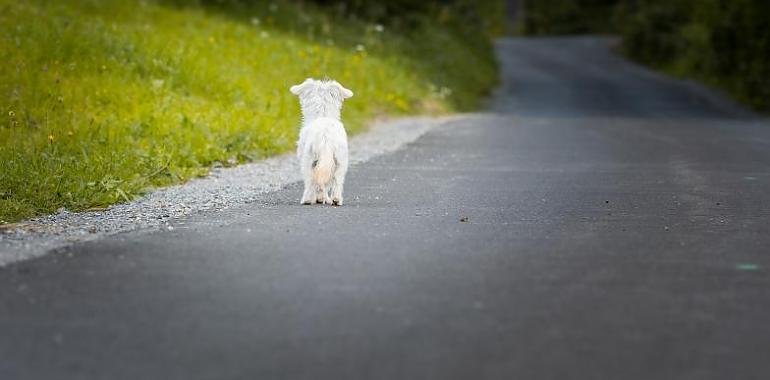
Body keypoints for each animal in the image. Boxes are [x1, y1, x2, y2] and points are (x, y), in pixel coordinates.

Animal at [290, 77, 352, 206]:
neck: (323, 114)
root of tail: (325, 135)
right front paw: (322, 198)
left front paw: (319, 198)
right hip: (340, 161)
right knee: (337, 181)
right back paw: (336, 199)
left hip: (308, 160)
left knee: (310, 181)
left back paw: (307, 199)